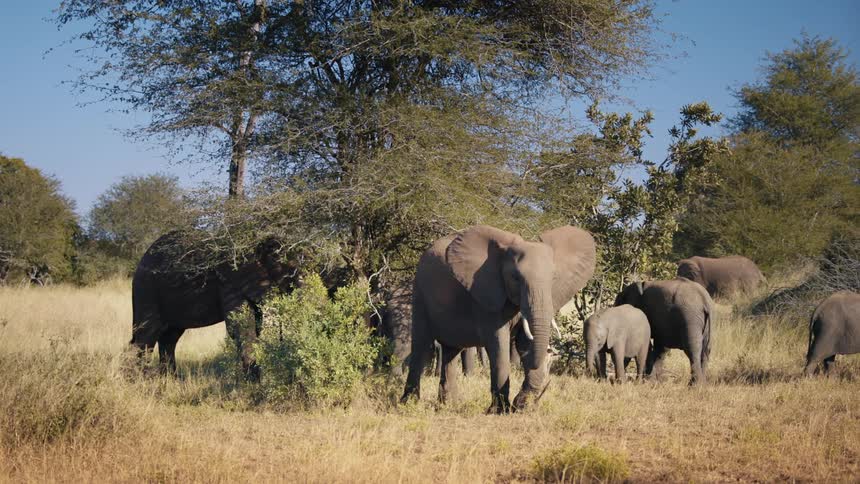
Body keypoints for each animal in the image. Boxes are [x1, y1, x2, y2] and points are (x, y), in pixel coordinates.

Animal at [131, 231, 298, 377]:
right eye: (285, 269)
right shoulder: (228, 284)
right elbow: (241, 327)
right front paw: (254, 383)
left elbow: (255, 326)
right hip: (146, 290)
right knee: (146, 336)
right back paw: (140, 380)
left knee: (169, 338)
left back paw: (171, 381)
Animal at [400, 225, 596, 413]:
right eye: (515, 278)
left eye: (553, 278)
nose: (550, 351)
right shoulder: (485, 296)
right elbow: (498, 342)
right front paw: (500, 410)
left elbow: (524, 340)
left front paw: (523, 407)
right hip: (420, 291)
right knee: (421, 344)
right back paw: (409, 404)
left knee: (451, 350)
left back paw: (448, 405)